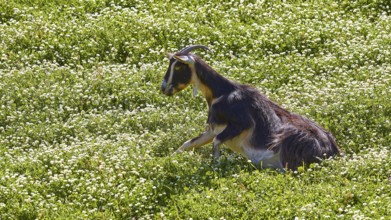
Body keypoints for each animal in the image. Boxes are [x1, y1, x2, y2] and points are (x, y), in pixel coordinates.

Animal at [160, 44, 340, 171]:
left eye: (178, 66)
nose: (164, 88)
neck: (222, 92)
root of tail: (332, 151)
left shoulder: (242, 123)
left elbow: (217, 142)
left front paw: (215, 167)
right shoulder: (213, 129)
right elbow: (188, 144)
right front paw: (167, 160)